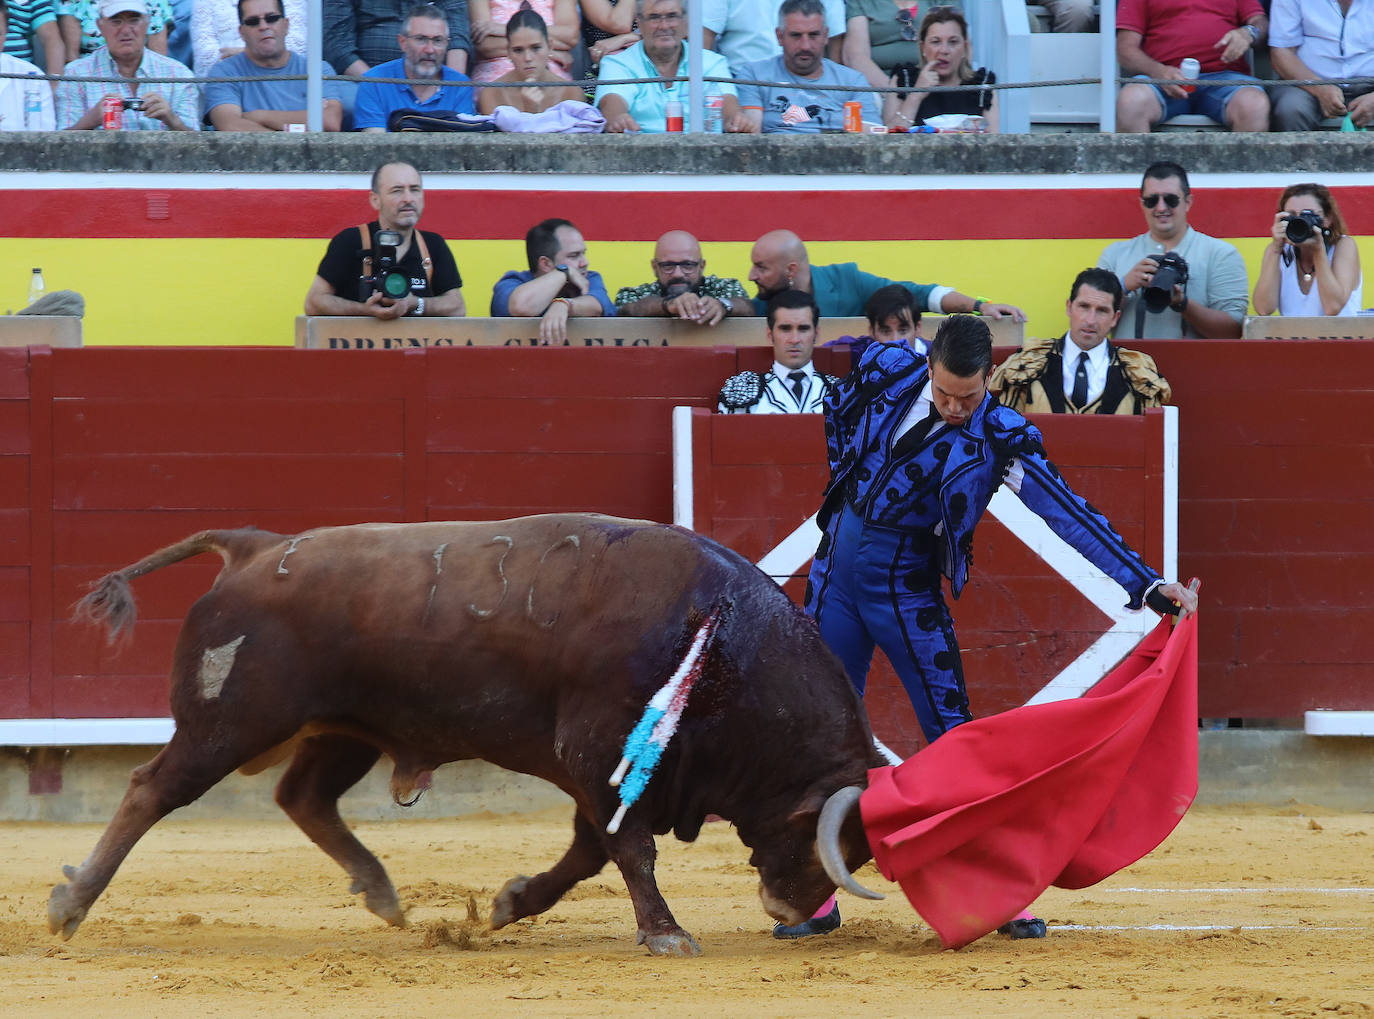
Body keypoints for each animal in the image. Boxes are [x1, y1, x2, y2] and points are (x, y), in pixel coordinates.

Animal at [50, 519, 879, 955]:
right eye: (820, 842)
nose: (791, 912)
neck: (720, 642)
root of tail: (257, 546)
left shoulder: (604, 774)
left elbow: (589, 851)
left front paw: (511, 902)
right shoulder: (600, 755)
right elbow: (629, 849)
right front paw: (666, 933)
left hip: (345, 727)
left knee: (304, 795)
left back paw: (383, 894)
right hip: (231, 721)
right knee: (152, 789)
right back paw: (70, 905)